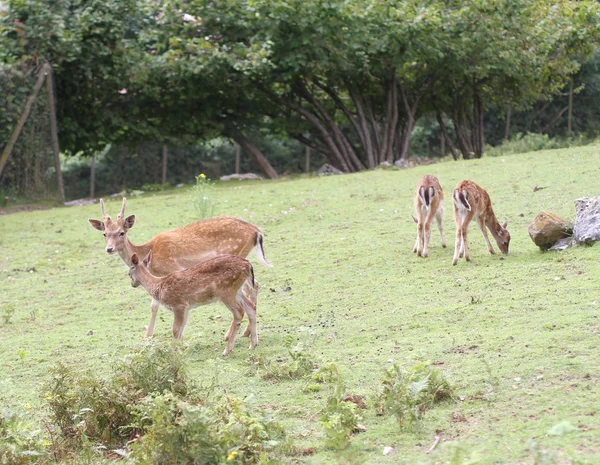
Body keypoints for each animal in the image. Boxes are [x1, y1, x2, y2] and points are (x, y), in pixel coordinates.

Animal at [88, 196, 270, 338]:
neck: (148, 253)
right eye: (104, 234)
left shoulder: (173, 269)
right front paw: (148, 335)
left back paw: (232, 334)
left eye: (122, 232)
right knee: (255, 286)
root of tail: (256, 231)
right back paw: (246, 332)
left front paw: (149, 335)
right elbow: (153, 304)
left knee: (250, 288)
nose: (109, 248)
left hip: (237, 253)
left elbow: (158, 304)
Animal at [126, 250, 258, 356]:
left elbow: (175, 330)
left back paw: (227, 350)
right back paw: (253, 344)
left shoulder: (178, 304)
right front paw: (182, 348)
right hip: (237, 290)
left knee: (239, 312)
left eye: (128, 273)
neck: (159, 287)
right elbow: (181, 330)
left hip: (227, 291)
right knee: (251, 307)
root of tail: (248, 265)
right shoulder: (187, 308)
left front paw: (175, 352)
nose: (132, 284)